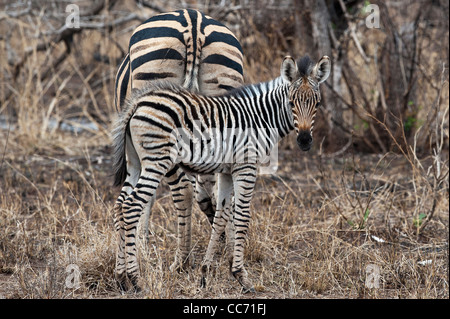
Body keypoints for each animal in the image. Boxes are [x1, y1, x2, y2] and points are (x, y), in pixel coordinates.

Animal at [112, 54, 330, 292]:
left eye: (317, 103)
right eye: (291, 103)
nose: (305, 141)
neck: (260, 119)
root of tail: (137, 103)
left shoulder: (227, 171)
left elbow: (221, 216)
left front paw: (205, 273)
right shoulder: (246, 166)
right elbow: (242, 216)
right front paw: (241, 276)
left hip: (134, 163)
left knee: (120, 206)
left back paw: (120, 277)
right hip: (156, 161)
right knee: (132, 206)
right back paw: (135, 279)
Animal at [114, 8, 244, 290]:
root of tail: (193, 21)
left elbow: (148, 197)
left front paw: (142, 244)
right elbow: (209, 195)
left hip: (163, 115)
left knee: (182, 190)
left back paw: (181, 261)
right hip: (223, 96)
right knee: (218, 193)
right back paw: (223, 253)